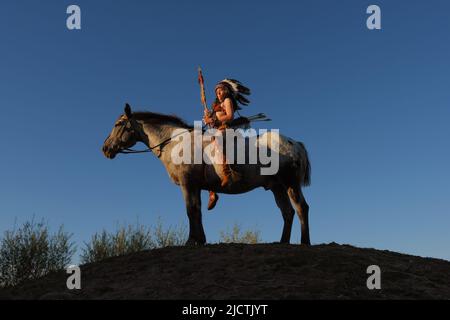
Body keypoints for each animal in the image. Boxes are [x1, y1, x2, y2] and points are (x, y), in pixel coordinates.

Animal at [103, 104, 312, 246]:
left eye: (118, 124)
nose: (105, 148)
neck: (176, 142)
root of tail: (295, 143)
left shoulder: (187, 184)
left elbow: (190, 210)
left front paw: (190, 241)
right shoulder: (195, 186)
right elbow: (197, 210)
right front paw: (200, 239)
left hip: (290, 183)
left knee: (301, 208)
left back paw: (305, 242)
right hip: (277, 187)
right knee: (287, 212)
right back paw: (283, 241)